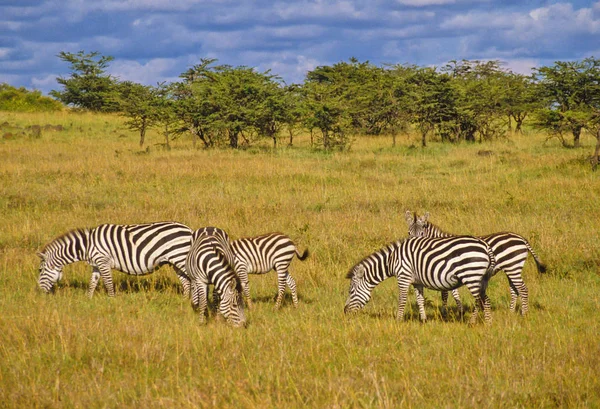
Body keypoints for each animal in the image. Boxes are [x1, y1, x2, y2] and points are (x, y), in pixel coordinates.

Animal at [36, 220, 195, 296]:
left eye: (40, 270)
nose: (39, 292)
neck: (88, 245)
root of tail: (189, 230)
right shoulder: (96, 264)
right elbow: (92, 282)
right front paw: (88, 299)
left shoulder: (103, 261)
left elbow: (108, 282)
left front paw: (111, 299)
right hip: (175, 261)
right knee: (186, 282)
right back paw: (184, 300)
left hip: (180, 257)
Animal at [344, 236, 494, 326]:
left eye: (351, 291)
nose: (345, 312)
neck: (392, 260)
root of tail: (485, 246)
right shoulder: (417, 281)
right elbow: (420, 300)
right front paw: (423, 320)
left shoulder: (403, 276)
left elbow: (402, 300)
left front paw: (398, 320)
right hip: (480, 279)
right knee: (482, 300)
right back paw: (481, 322)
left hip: (471, 275)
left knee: (482, 300)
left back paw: (481, 323)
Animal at [406, 210, 548, 316]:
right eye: (409, 232)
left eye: (422, 233)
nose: (414, 244)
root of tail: (522, 239)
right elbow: (454, 292)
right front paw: (460, 311)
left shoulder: (444, 270)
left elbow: (446, 293)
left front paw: (445, 312)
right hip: (511, 268)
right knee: (515, 289)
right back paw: (511, 312)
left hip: (512, 266)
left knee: (522, 289)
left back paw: (524, 313)